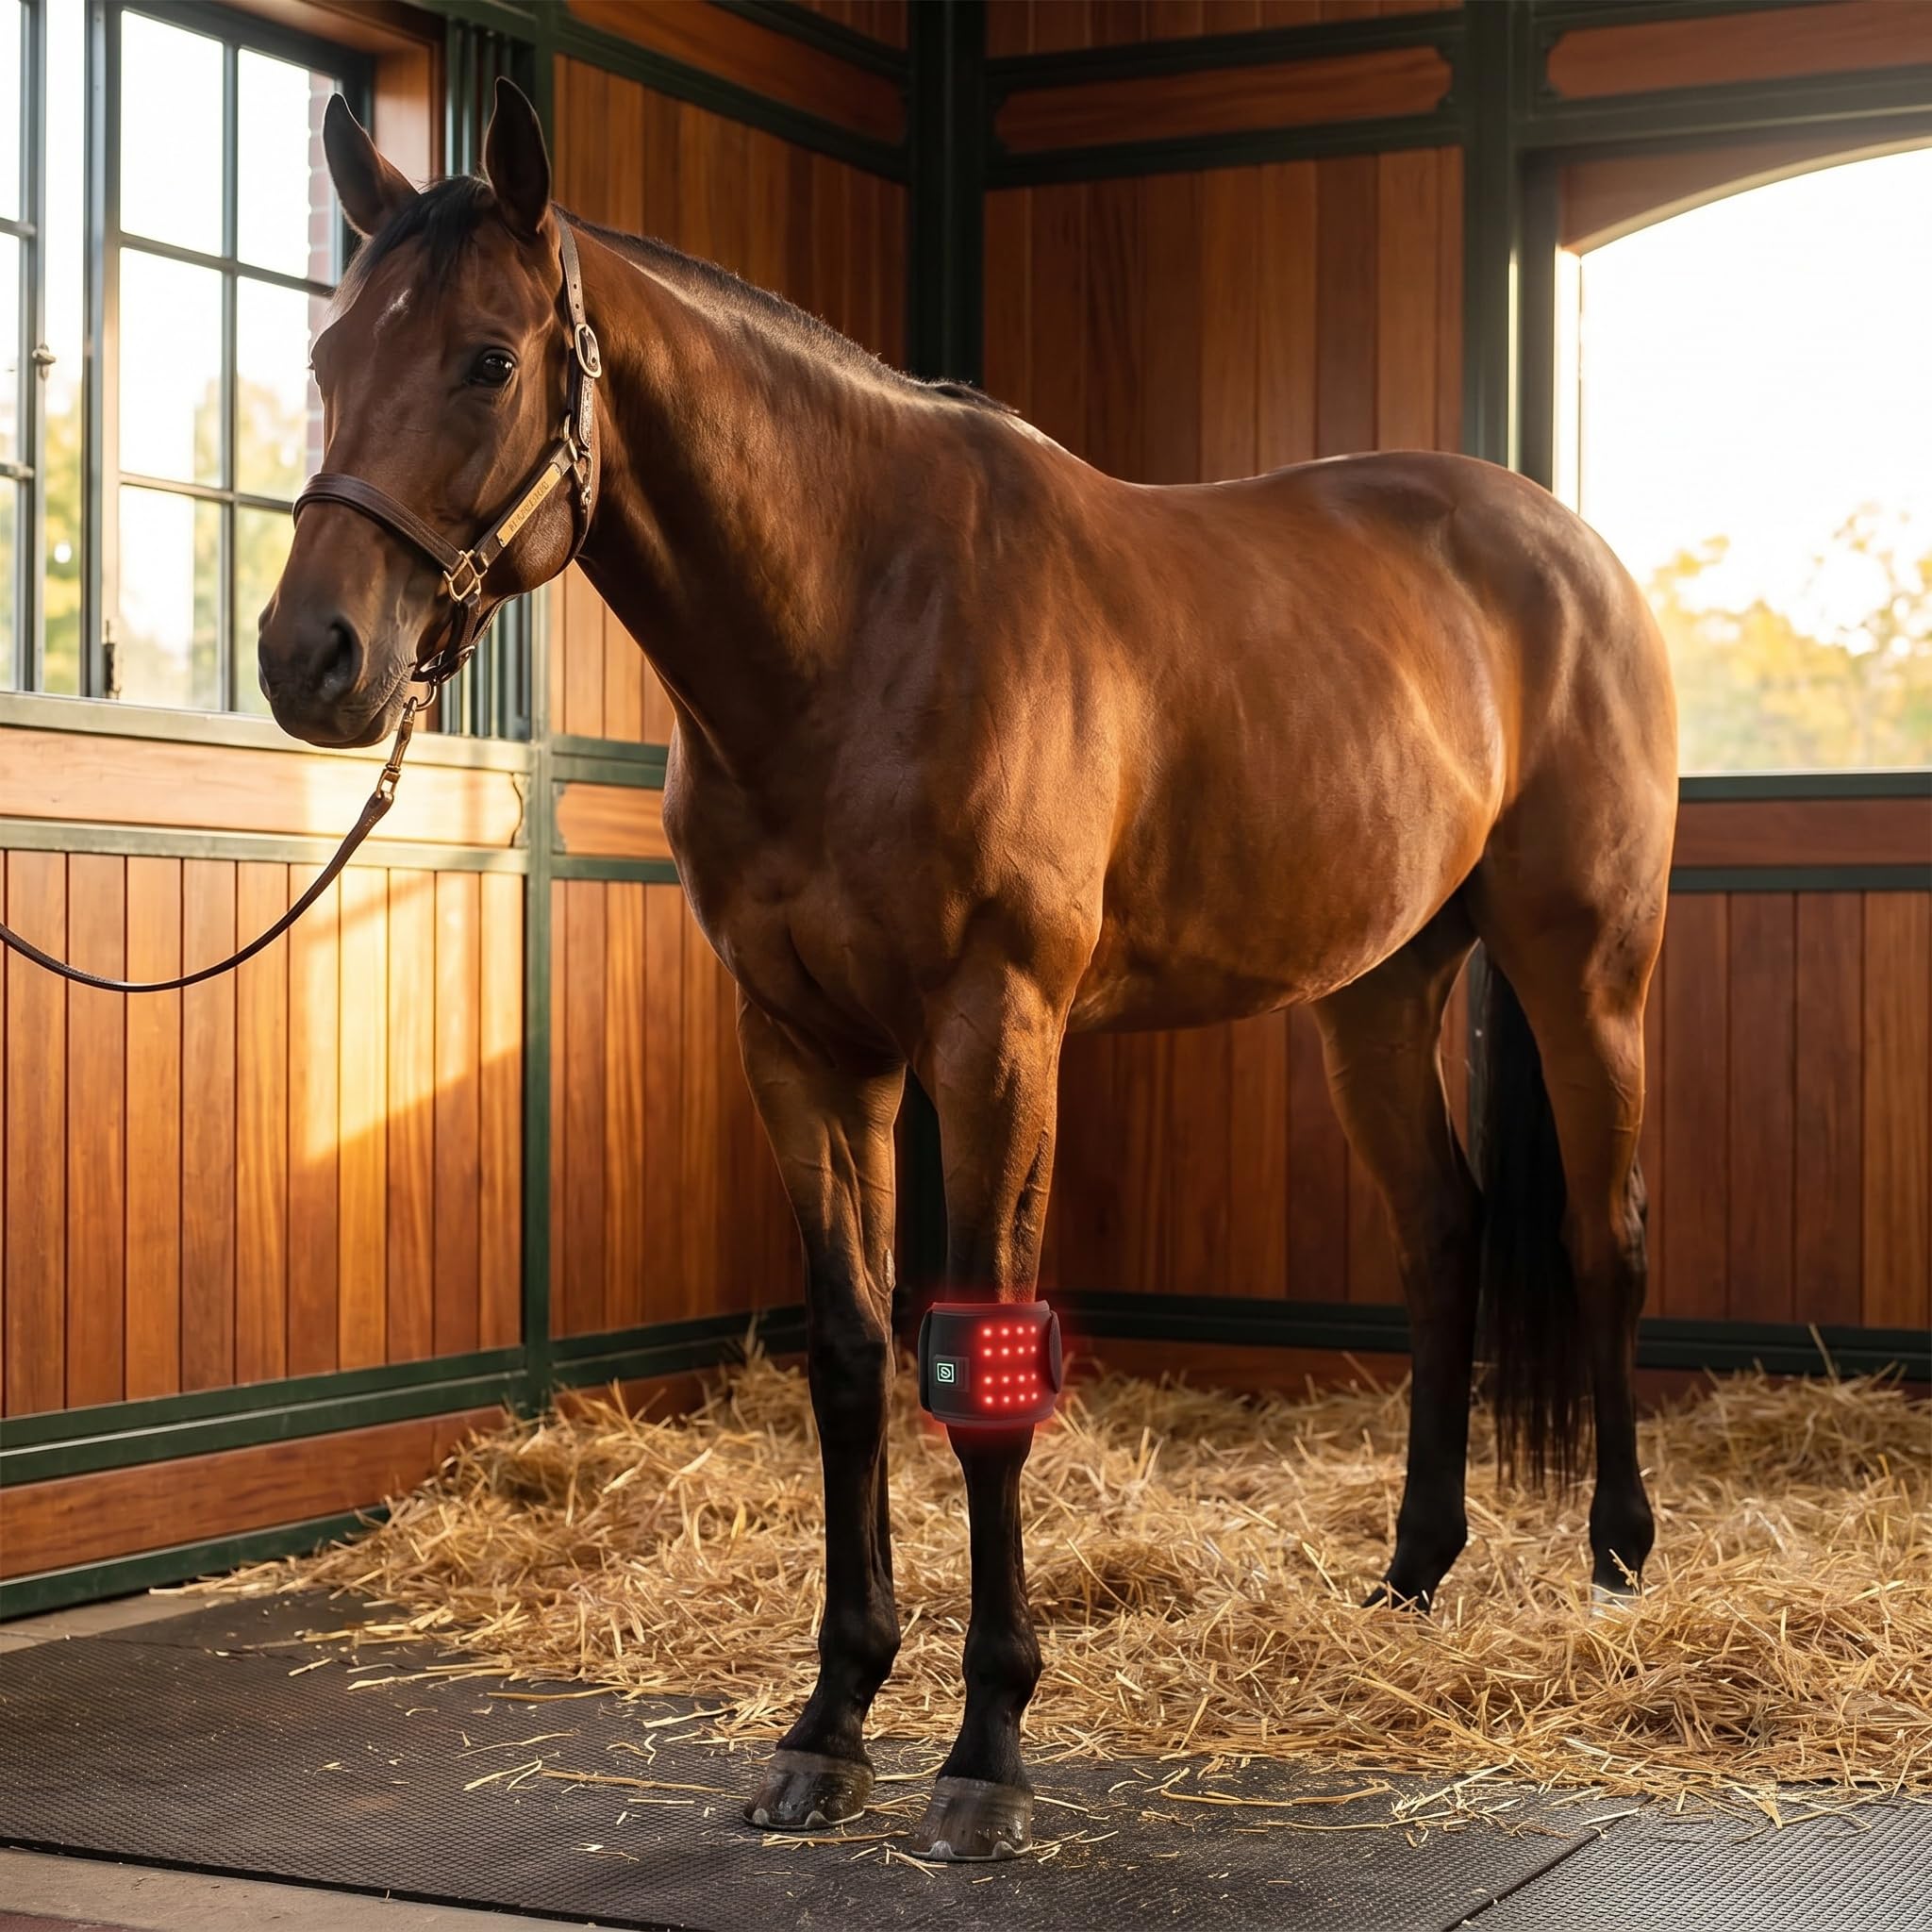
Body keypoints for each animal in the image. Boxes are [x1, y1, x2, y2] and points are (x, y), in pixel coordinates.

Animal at [259, 82, 1676, 1863]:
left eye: (487, 361)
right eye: (326, 352)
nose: (309, 656)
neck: (860, 620)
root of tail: (1571, 554)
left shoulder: (996, 1039)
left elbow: (979, 1359)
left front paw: (987, 1749)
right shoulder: (803, 1047)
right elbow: (856, 1360)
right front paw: (829, 1724)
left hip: (1586, 965)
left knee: (1602, 1233)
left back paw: (1617, 1559)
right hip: (1376, 991)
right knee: (1443, 1235)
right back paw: (1413, 1574)